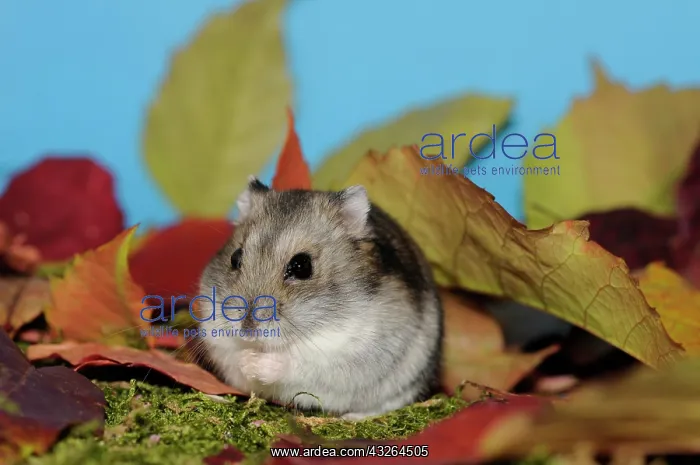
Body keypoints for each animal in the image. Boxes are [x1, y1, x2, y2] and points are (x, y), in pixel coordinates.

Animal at [197, 176, 443, 420]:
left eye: (302, 266)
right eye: (235, 258)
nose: (247, 332)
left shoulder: (347, 355)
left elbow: (298, 364)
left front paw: (258, 362)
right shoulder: (216, 339)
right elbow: (233, 356)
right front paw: (247, 359)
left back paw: (351, 418)